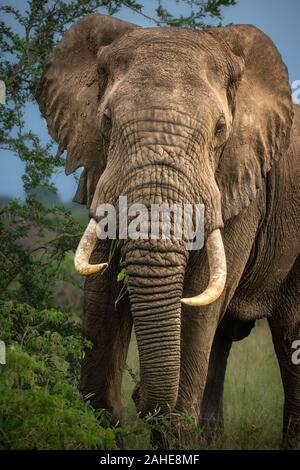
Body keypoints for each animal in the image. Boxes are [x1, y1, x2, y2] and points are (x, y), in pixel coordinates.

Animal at [35, 13, 300, 448]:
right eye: (106, 121)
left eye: (220, 129)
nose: (138, 392)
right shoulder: (100, 170)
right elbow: (101, 294)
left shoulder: (241, 184)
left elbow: (198, 296)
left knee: (288, 333)